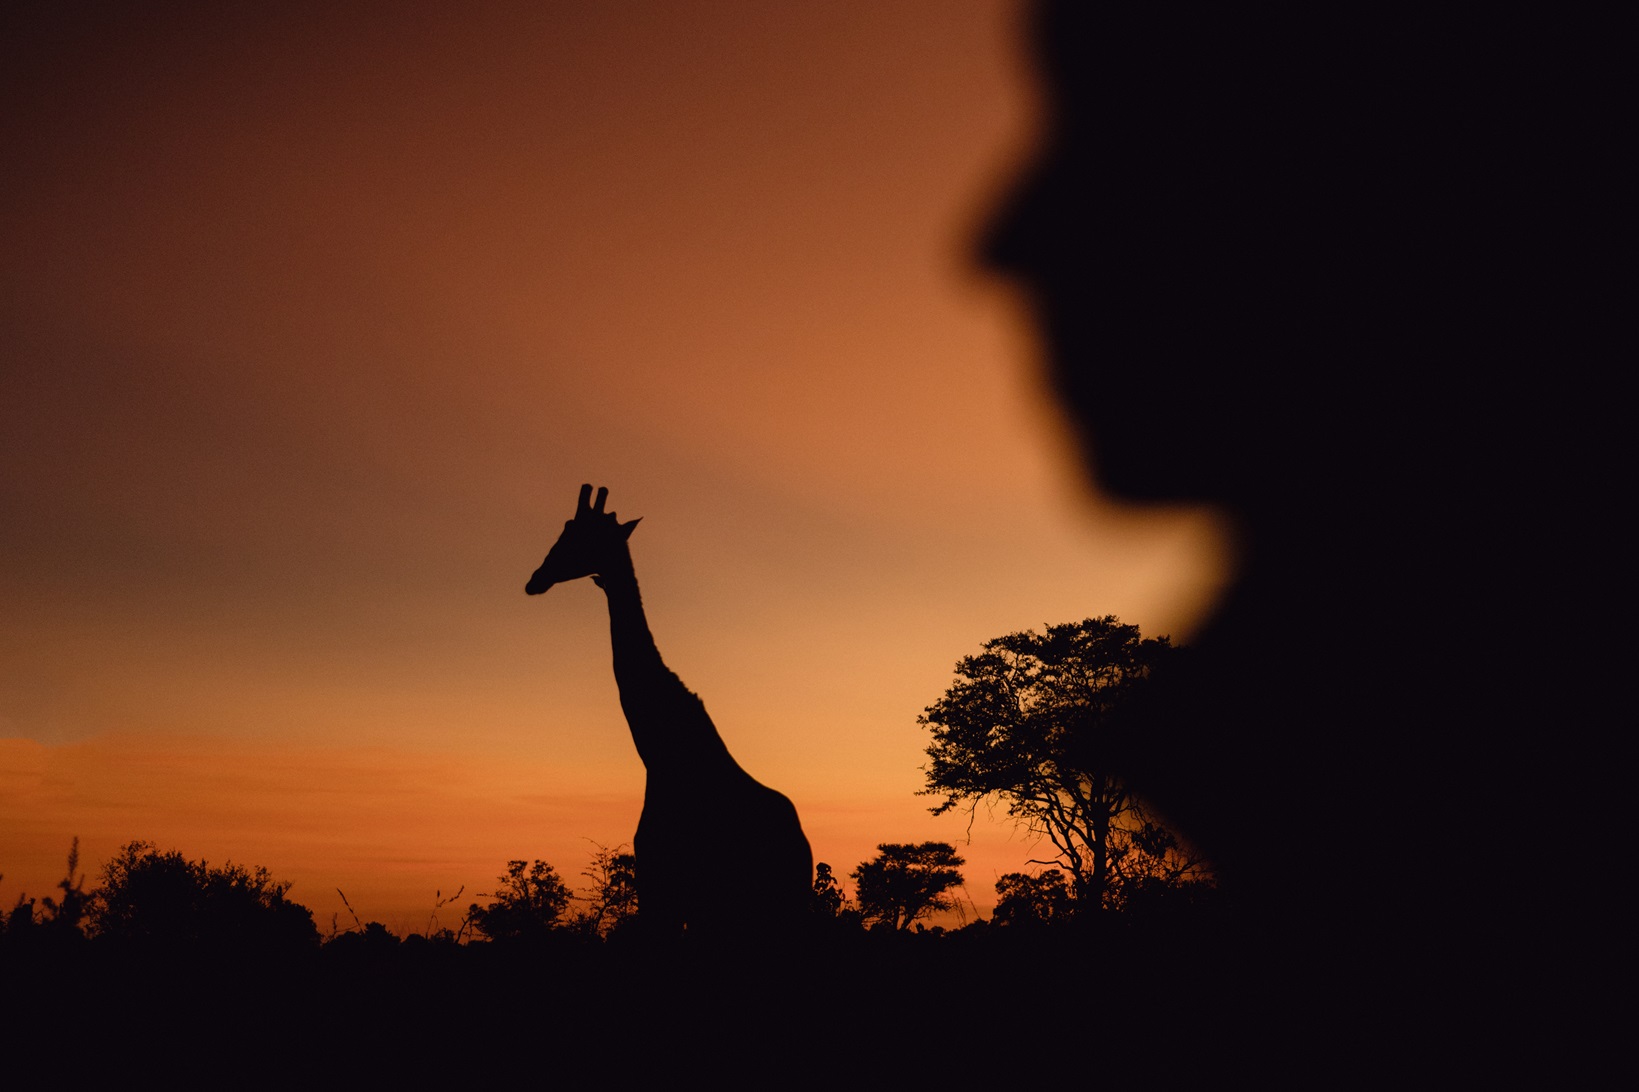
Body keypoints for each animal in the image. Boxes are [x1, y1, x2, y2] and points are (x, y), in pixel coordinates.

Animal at [524, 482, 812, 937]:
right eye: (566, 528)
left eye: (585, 537)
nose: (536, 579)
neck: (661, 758)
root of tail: (804, 845)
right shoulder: (663, 889)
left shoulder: (675, 893)